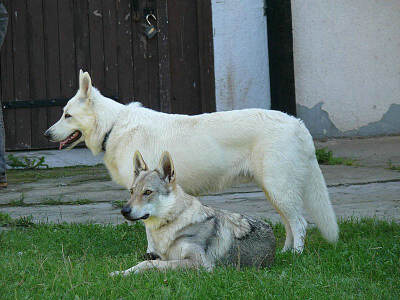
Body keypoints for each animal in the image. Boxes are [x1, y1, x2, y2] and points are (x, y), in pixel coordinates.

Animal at [111, 151, 276, 276]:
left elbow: (150, 263)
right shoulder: (159, 255)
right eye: (131, 191)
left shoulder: (200, 264)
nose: (124, 211)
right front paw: (121, 273)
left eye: (147, 192)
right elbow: (143, 262)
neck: (169, 225)